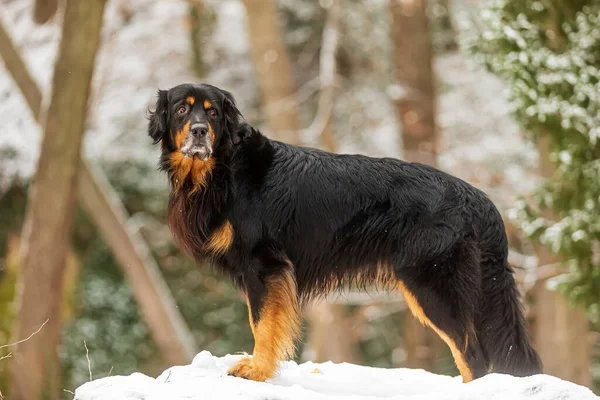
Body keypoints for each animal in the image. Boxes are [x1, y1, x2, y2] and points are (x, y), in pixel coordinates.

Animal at [146, 83, 544, 382]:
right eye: (182, 109)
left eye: (212, 112)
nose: (199, 131)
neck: (224, 168)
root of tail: (477, 199)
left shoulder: (263, 265)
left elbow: (261, 323)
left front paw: (257, 370)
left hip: (433, 284)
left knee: (471, 355)